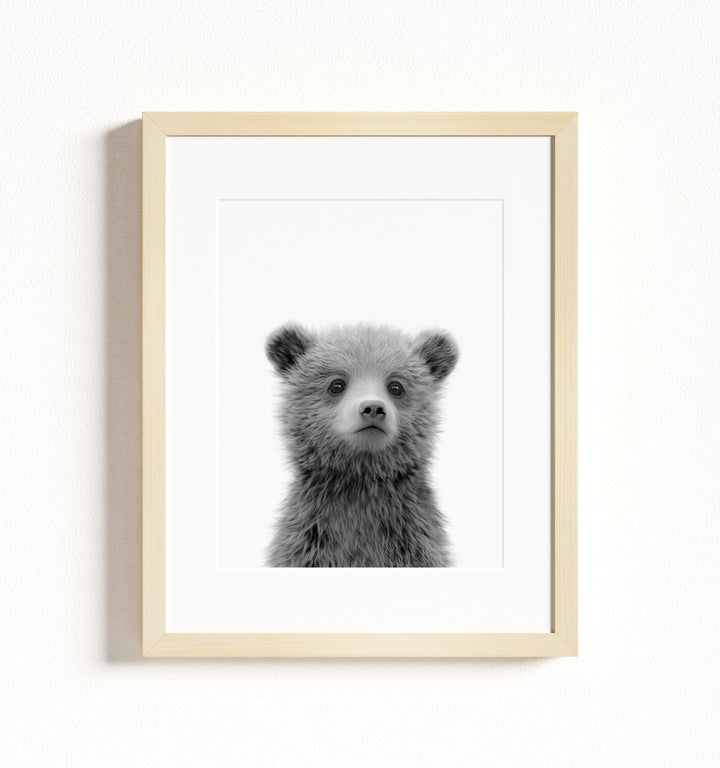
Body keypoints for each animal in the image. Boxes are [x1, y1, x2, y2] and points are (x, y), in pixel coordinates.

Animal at [264, 322, 459, 567]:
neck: (360, 480)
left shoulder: (412, 541)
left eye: (396, 387)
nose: (373, 408)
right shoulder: (309, 541)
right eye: (337, 385)